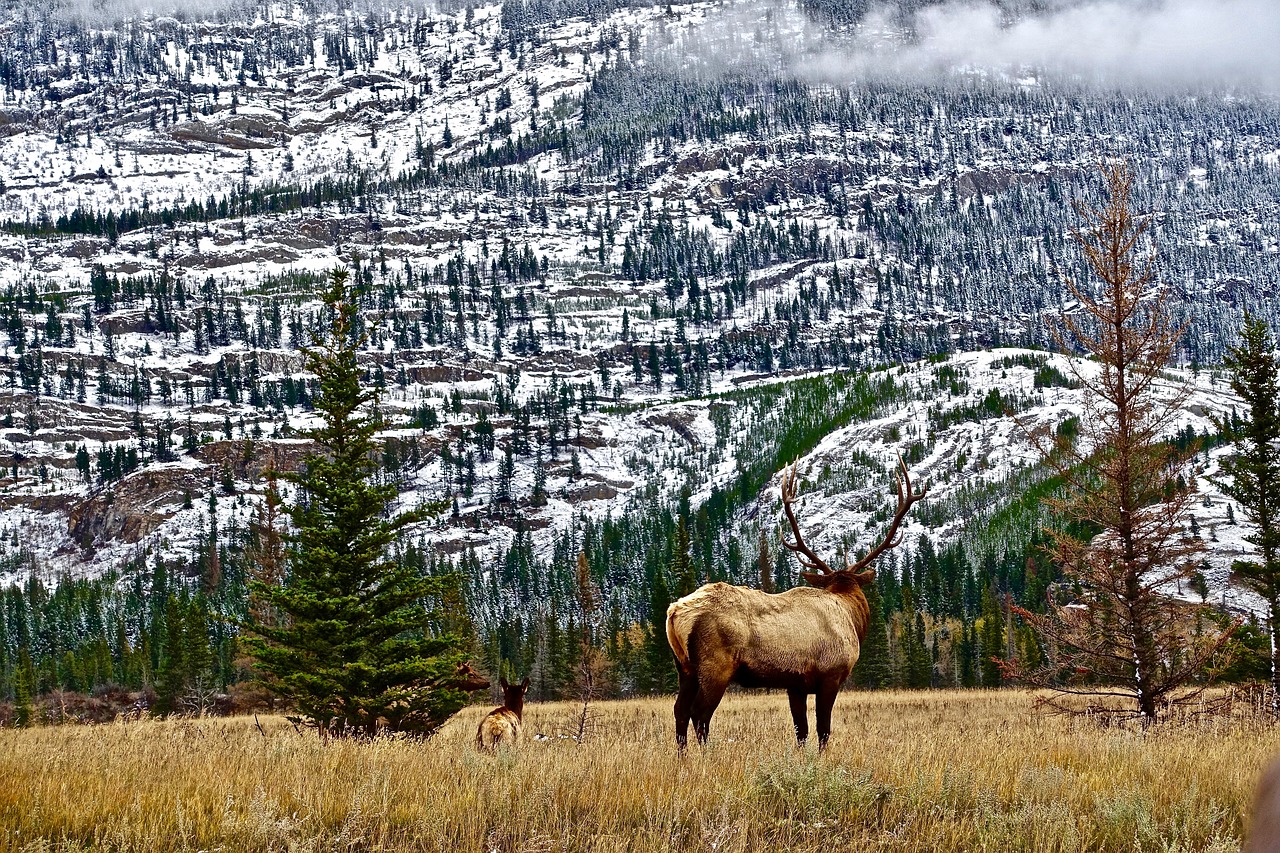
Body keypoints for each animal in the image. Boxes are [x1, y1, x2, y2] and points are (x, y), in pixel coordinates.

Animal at [665, 455, 926, 747]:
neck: (851, 618)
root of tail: (674, 613)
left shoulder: (795, 683)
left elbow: (801, 731)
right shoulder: (830, 675)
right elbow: (823, 729)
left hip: (684, 668)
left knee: (680, 710)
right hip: (715, 665)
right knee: (699, 714)